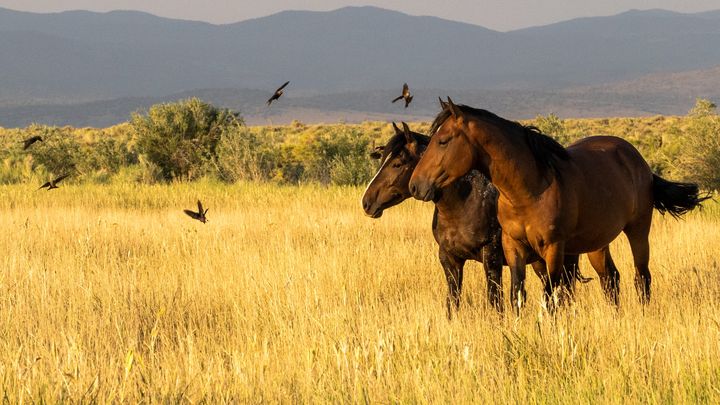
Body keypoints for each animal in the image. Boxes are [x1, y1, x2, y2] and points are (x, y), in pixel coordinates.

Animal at [362, 121, 588, 317]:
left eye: (397, 164)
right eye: (382, 161)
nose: (366, 202)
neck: (462, 203)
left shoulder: (491, 257)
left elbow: (495, 301)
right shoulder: (449, 259)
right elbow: (452, 302)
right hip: (539, 262)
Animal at [409, 98, 710, 313]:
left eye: (443, 141)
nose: (416, 186)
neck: (528, 190)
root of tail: (638, 160)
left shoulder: (552, 249)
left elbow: (551, 296)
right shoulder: (513, 246)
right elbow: (518, 295)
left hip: (638, 231)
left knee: (642, 277)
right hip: (597, 244)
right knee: (611, 279)